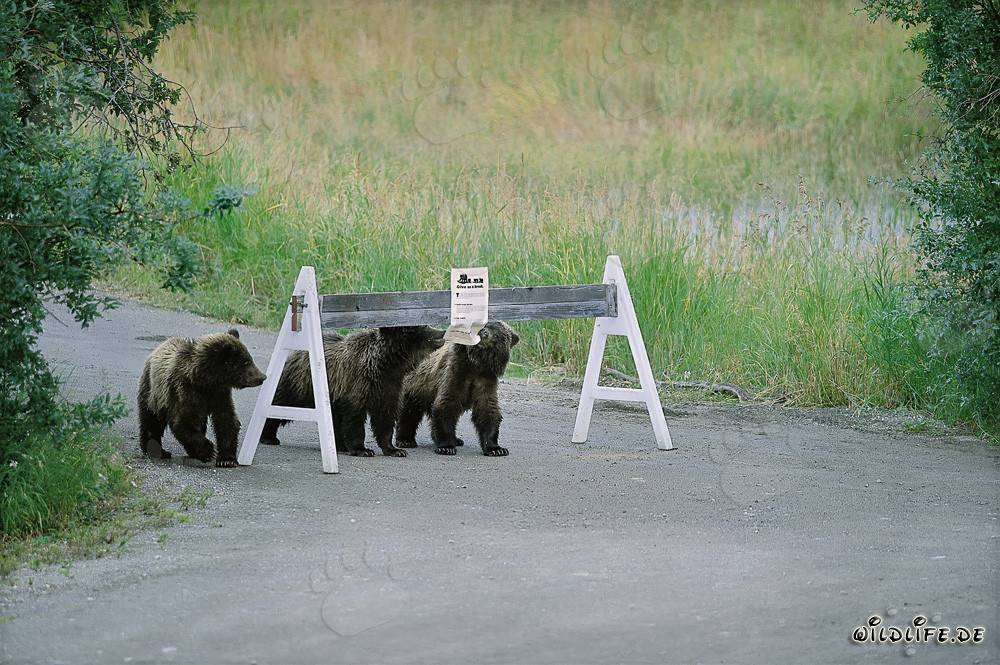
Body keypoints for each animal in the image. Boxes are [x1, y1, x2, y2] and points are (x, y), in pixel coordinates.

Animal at [137, 329, 266, 467]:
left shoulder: (220, 395)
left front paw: (226, 459)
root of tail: (161, 345)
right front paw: (209, 451)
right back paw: (158, 451)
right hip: (152, 392)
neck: (205, 381)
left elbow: (226, 421)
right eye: (246, 362)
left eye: (250, 359)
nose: (263, 377)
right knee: (151, 421)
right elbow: (183, 422)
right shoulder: (182, 393)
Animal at [259, 326, 445, 457]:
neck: (386, 366)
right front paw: (363, 449)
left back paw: (340, 446)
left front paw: (394, 450)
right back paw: (268, 436)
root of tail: (295, 352)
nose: (442, 330)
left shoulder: (389, 388)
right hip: (300, 383)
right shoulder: (358, 384)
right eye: (425, 326)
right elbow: (355, 417)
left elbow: (385, 419)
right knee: (281, 403)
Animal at [394, 320, 519, 456]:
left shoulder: (486, 378)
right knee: (409, 411)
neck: (475, 363)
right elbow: (446, 403)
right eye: (483, 326)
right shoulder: (456, 372)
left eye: (497, 335)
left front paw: (496, 448)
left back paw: (456, 439)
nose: (484, 333)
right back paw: (406, 440)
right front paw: (446, 446)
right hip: (416, 384)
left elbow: (487, 408)